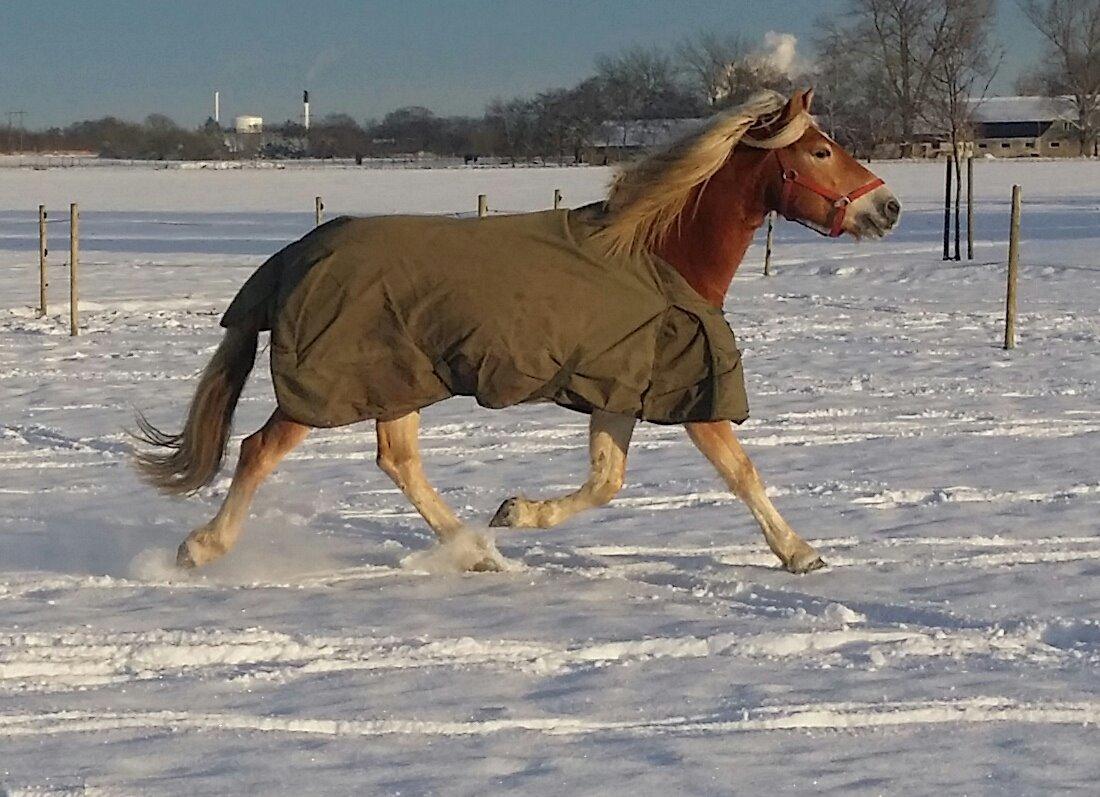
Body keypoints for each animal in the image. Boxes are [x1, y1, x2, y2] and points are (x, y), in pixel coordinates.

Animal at [130, 88, 902, 571]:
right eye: (822, 151)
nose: (889, 208)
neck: (657, 257)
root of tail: (294, 254)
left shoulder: (619, 390)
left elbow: (606, 481)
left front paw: (515, 512)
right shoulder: (684, 394)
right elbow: (740, 471)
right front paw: (800, 553)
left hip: (400, 382)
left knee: (397, 461)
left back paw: (476, 550)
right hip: (337, 385)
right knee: (260, 449)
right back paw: (200, 549)